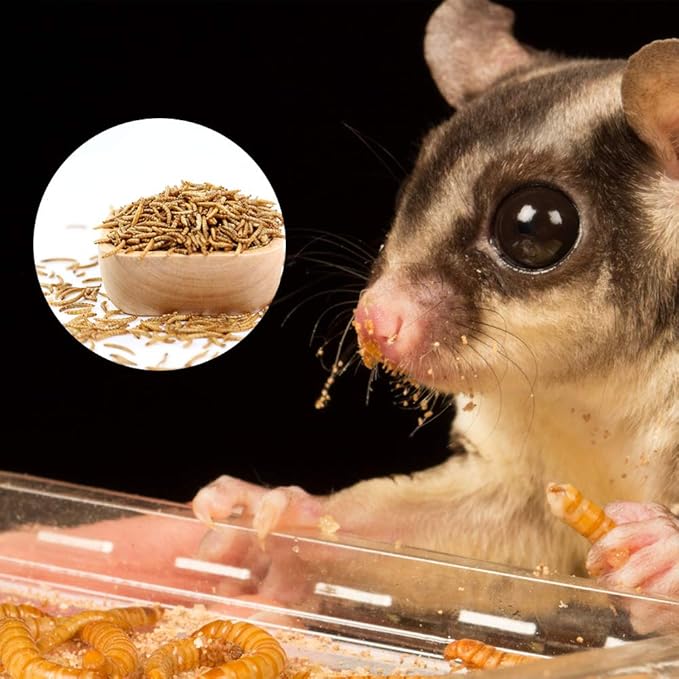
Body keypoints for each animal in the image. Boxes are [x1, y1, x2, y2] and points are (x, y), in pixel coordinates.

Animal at [194, 0, 678, 608]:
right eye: (410, 193)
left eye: (536, 227)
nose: (375, 321)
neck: (600, 384)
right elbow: (503, 528)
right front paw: (279, 512)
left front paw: (662, 550)